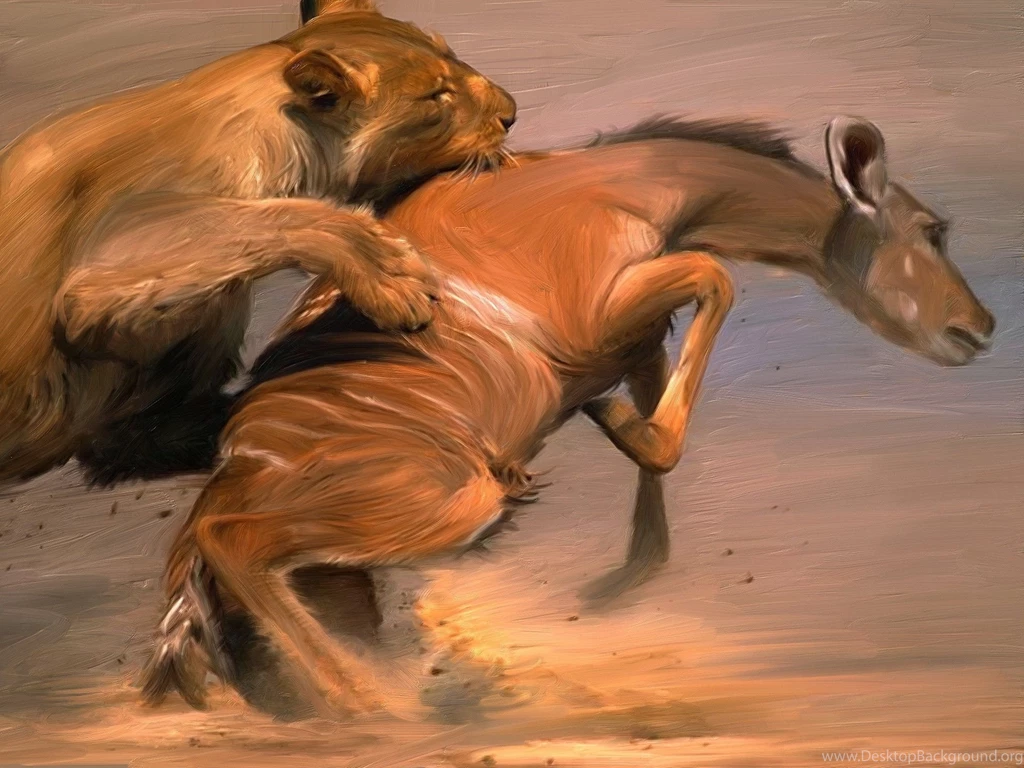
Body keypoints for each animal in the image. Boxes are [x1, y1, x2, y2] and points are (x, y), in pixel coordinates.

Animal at [0, 0, 516, 486]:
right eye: (436, 95)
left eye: (454, 58)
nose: (512, 113)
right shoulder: (93, 281)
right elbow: (261, 220)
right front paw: (387, 271)